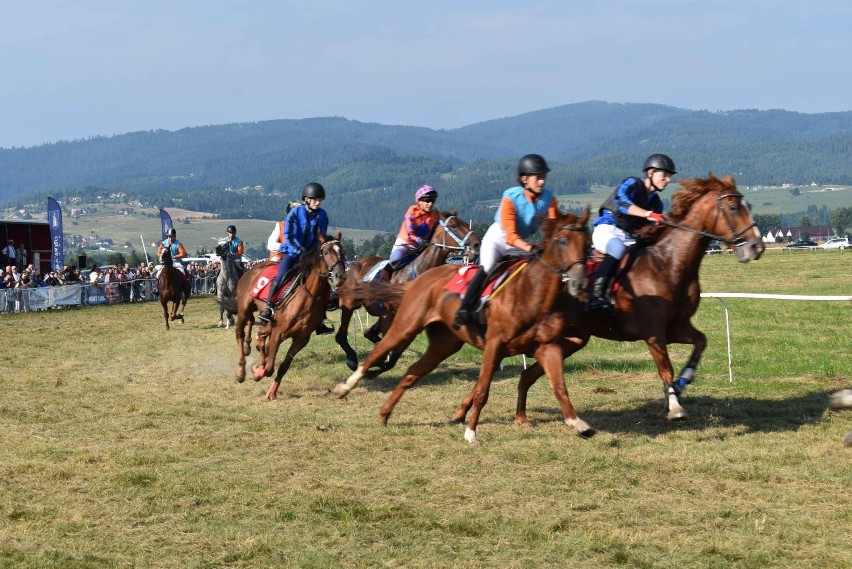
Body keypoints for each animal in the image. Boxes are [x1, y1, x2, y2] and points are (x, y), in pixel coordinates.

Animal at [233, 231, 346, 400]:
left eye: (343, 252)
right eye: (326, 252)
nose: (340, 276)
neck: (306, 298)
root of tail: (252, 269)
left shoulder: (301, 339)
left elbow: (283, 367)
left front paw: (271, 392)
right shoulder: (278, 334)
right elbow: (269, 368)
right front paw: (257, 372)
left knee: (261, 335)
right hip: (244, 310)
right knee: (240, 334)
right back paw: (241, 371)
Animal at [332, 209, 480, 372]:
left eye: (466, 223)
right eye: (454, 225)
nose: (477, 244)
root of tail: (353, 267)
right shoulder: (390, 314)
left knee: (369, 333)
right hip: (350, 302)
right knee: (341, 334)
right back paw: (352, 359)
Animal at [510, 173, 768, 430]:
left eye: (748, 205)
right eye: (733, 207)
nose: (757, 246)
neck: (668, 263)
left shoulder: (677, 327)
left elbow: (700, 343)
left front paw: (681, 384)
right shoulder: (653, 331)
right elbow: (665, 368)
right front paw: (674, 407)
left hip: (573, 338)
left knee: (528, 375)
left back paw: (522, 418)